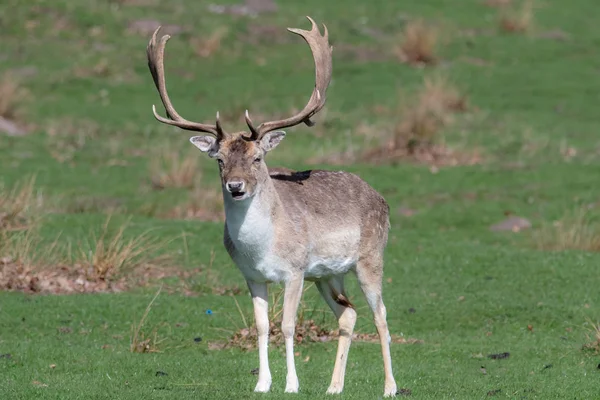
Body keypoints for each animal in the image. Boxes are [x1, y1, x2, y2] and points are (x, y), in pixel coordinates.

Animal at [146, 16, 398, 396]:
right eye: (219, 160)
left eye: (258, 157)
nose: (235, 186)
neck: (262, 247)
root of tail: (381, 198)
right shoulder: (252, 276)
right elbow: (263, 326)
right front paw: (263, 383)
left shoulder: (294, 271)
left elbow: (288, 326)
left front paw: (291, 384)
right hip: (327, 274)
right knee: (349, 314)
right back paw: (334, 387)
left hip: (370, 258)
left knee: (381, 314)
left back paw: (389, 387)